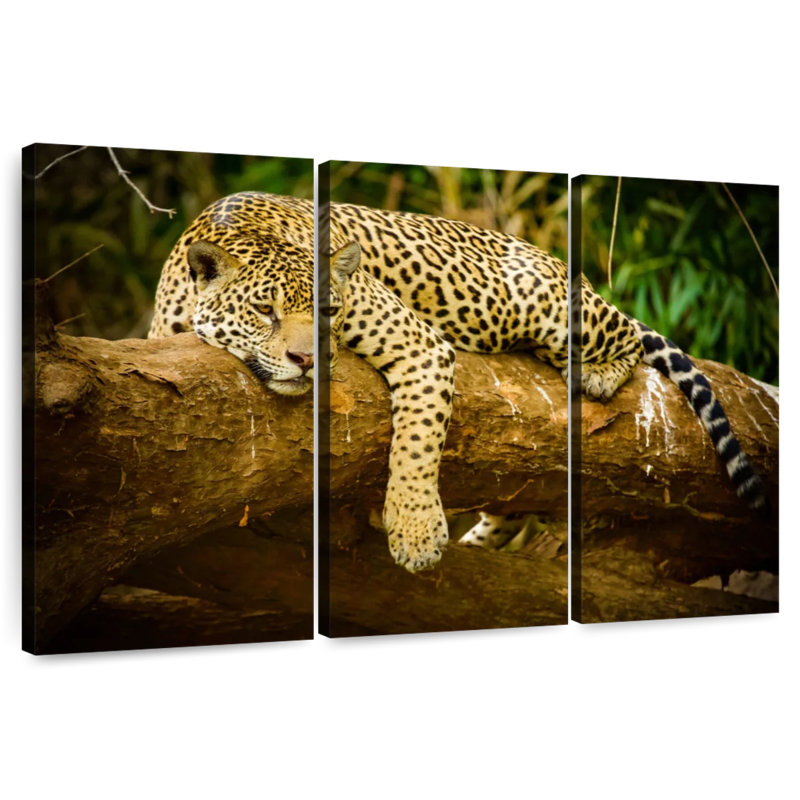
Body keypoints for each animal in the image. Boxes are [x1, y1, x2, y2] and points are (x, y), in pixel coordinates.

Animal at [150, 191, 768, 574]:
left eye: (328, 311)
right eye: (264, 310)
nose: (307, 359)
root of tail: (562, 265)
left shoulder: (419, 344)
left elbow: (416, 444)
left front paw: (417, 534)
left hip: (540, 303)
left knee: (626, 337)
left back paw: (591, 372)